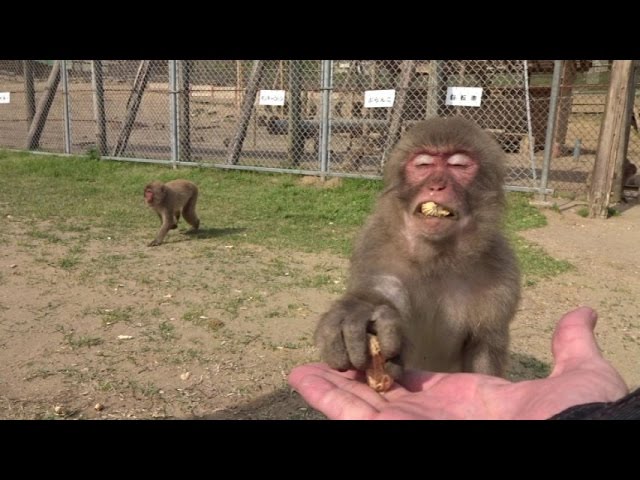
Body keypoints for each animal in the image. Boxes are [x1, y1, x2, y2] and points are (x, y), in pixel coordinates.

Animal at [314, 117, 521, 381]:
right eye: (423, 165)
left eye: (459, 165)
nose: (437, 185)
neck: (437, 258)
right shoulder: (376, 245)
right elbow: (380, 288)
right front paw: (360, 310)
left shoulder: (501, 270)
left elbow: (484, 350)